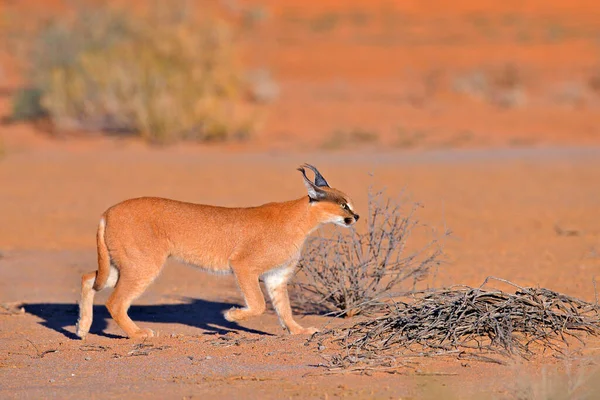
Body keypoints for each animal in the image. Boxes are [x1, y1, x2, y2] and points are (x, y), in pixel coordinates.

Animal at [74, 164, 356, 340]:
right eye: (343, 204)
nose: (357, 217)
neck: (302, 220)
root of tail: (108, 210)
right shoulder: (244, 265)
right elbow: (258, 304)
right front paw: (232, 315)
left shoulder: (276, 276)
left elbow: (283, 308)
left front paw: (298, 331)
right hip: (142, 264)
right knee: (115, 302)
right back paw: (138, 334)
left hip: (119, 264)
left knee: (89, 278)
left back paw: (82, 328)